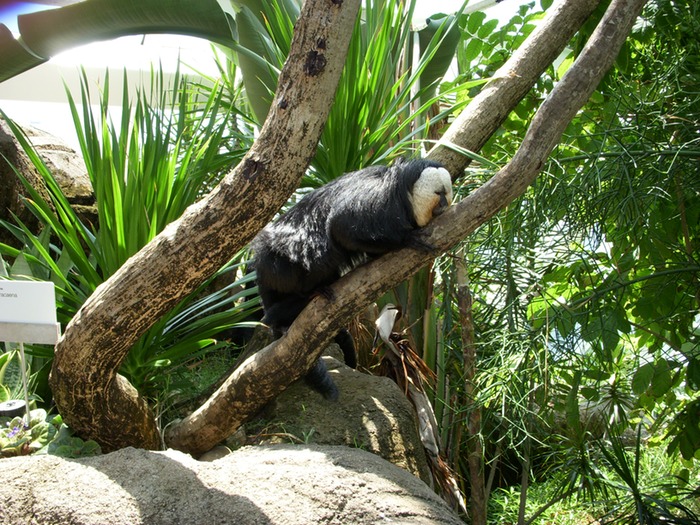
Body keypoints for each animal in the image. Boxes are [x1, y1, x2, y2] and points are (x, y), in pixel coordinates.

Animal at [251, 158, 453, 400]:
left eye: (446, 193)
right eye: (439, 193)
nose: (445, 203)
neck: (402, 194)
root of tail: (260, 267)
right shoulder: (377, 204)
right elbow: (341, 227)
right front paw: (406, 239)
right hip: (279, 265)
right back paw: (298, 300)